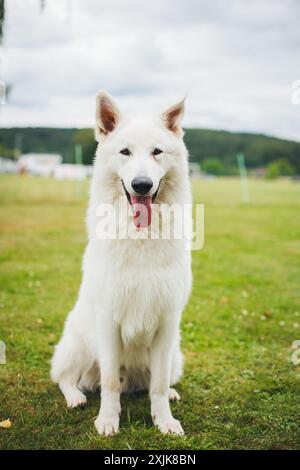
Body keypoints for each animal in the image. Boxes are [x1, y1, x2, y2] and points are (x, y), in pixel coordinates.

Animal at [50, 92, 192, 436]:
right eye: (125, 151)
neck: (140, 237)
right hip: (80, 343)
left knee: (156, 381)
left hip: (176, 353)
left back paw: (169, 391)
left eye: (157, 152)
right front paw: (108, 421)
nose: (141, 185)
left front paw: (164, 420)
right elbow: (110, 382)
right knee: (65, 377)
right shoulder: (109, 321)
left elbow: (157, 386)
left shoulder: (167, 324)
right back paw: (75, 397)